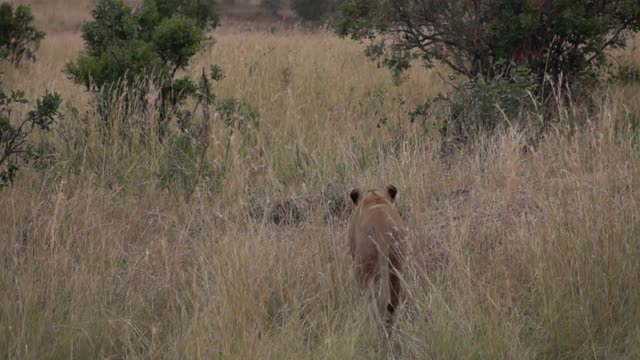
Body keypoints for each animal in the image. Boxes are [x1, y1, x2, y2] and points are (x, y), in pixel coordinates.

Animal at [348, 186, 408, 334]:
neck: (374, 198)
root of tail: (382, 228)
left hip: (362, 270)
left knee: (369, 302)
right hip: (396, 268)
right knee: (392, 304)